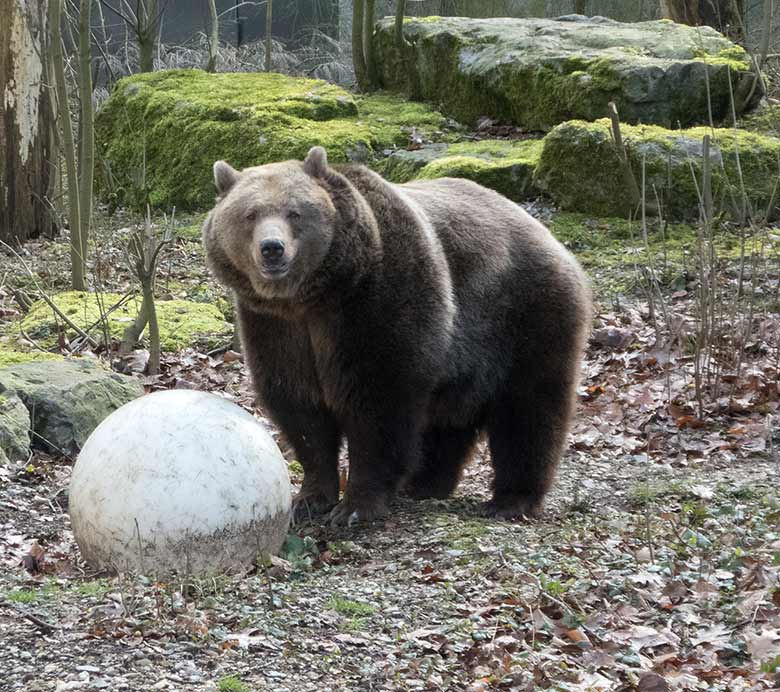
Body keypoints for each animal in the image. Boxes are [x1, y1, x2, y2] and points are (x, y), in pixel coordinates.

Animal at [201, 145, 592, 524]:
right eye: (250, 214)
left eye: (294, 212)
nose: (272, 248)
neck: (314, 296)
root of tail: (545, 234)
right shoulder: (275, 327)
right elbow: (301, 409)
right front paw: (310, 499)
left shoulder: (377, 302)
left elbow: (379, 405)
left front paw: (355, 507)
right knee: (448, 422)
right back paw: (425, 483)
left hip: (525, 316)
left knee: (528, 410)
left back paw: (511, 500)